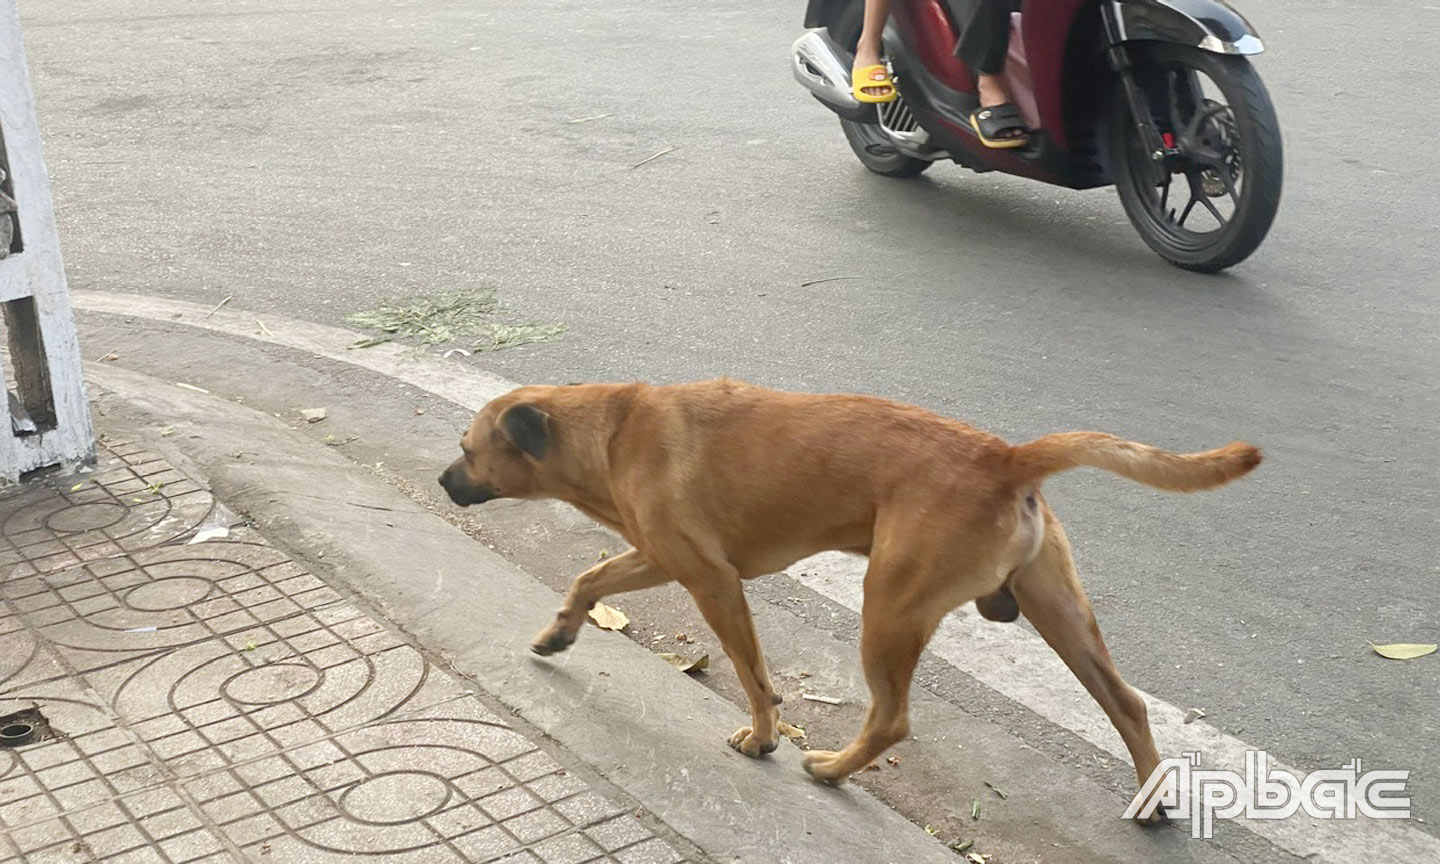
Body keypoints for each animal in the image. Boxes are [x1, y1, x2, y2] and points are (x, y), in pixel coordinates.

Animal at [437, 380, 1261, 812]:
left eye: (467, 448)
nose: (443, 481)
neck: (608, 429)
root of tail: (1004, 456)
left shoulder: (711, 580)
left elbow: (754, 676)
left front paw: (765, 737)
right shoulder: (657, 556)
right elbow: (588, 578)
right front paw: (559, 633)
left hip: (889, 610)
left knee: (892, 719)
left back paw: (832, 769)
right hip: (1057, 610)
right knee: (1127, 704)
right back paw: (1151, 801)